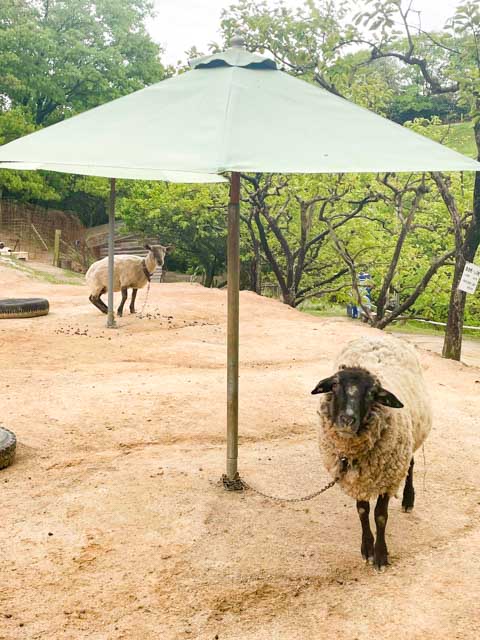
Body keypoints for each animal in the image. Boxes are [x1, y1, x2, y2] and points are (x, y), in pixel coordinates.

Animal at [312, 336, 432, 568]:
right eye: (334, 385)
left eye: (372, 394)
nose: (347, 420)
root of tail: (383, 336)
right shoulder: (356, 479)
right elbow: (362, 511)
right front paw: (367, 548)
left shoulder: (389, 476)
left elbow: (380, 516)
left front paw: (381, 555)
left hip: (410, 441)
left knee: (411, 466)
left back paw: (408, 500)